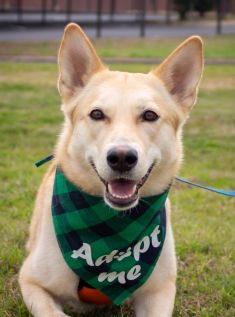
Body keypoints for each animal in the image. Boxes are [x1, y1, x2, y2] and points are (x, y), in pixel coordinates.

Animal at [19, 24, 204, 316]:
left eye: (149, 115)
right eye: (97, 114)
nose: (121, 158)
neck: (108, 226)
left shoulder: (160, 291)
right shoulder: (30, 280)